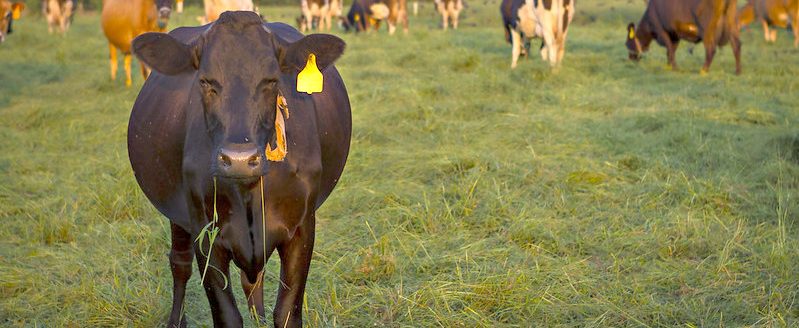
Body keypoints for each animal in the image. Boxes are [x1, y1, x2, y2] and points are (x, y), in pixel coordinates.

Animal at [130, 10, 350, 328]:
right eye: (205, 82)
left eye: (271, 80)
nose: (239, 159)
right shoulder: (205, 231)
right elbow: (227, 315)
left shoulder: (303, 227)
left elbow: (287, 311)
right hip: (177, 214)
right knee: (179, 263)